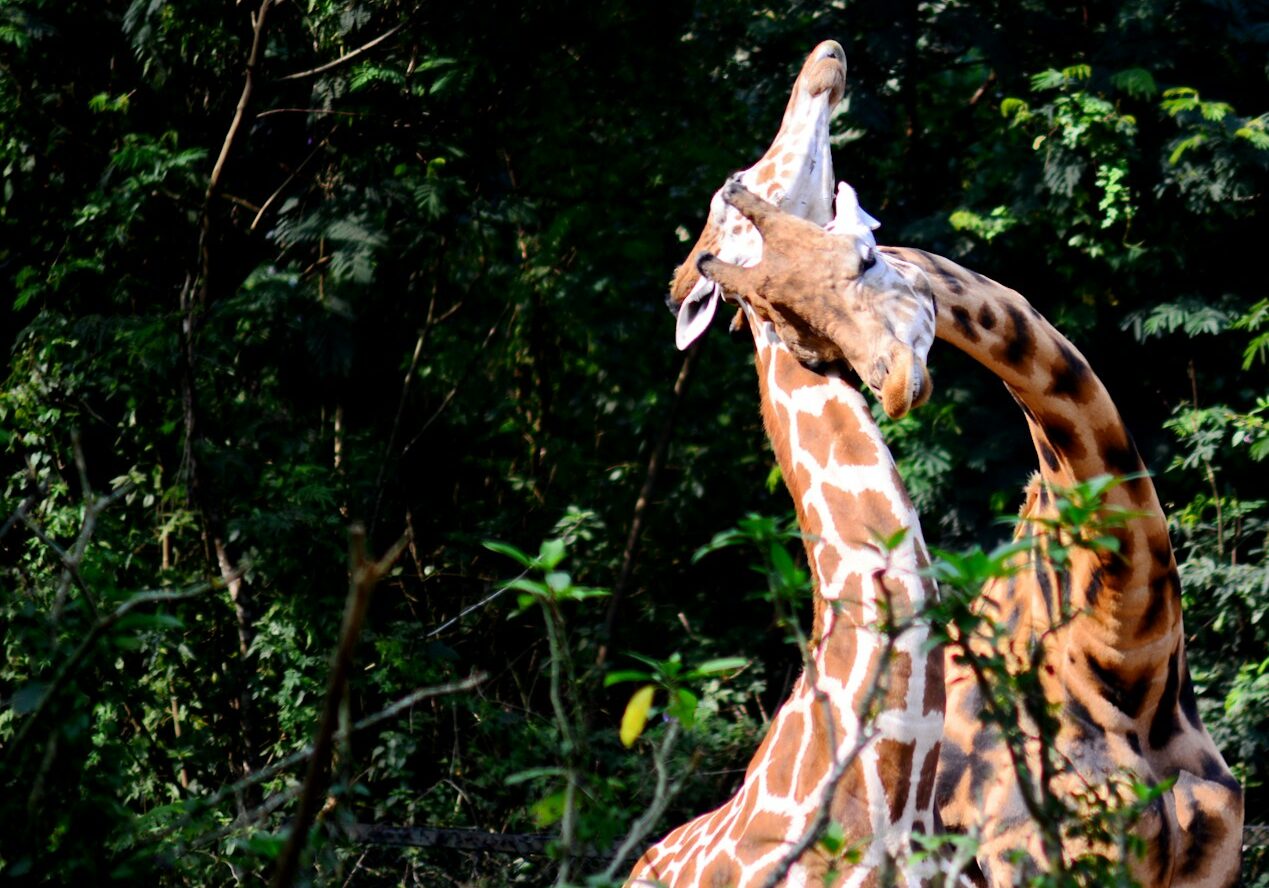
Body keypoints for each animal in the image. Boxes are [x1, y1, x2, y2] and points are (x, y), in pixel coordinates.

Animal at [690, 182, 1243, 887]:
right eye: (795, 329)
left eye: (867, 260)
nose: (896, 383)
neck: (1127, 656)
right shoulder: (1038, 858)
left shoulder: (1213, 863)